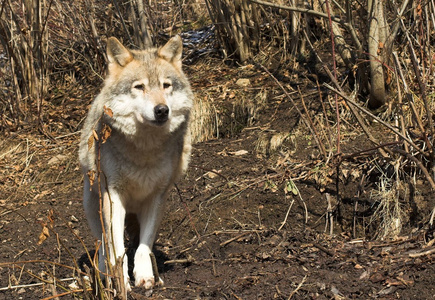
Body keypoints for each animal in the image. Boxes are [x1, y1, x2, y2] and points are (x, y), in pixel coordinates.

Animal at [79, 35, 194, 290]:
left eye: (166, 85)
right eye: (139, 87)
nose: (162, 110)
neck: (144, 150)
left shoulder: (157, 198)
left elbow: (143, 247)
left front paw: (145, 277)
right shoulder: (113, 196)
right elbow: (116, 250)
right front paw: (120, 282)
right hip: (93, 205)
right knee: (103, 244)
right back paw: (103, 274)